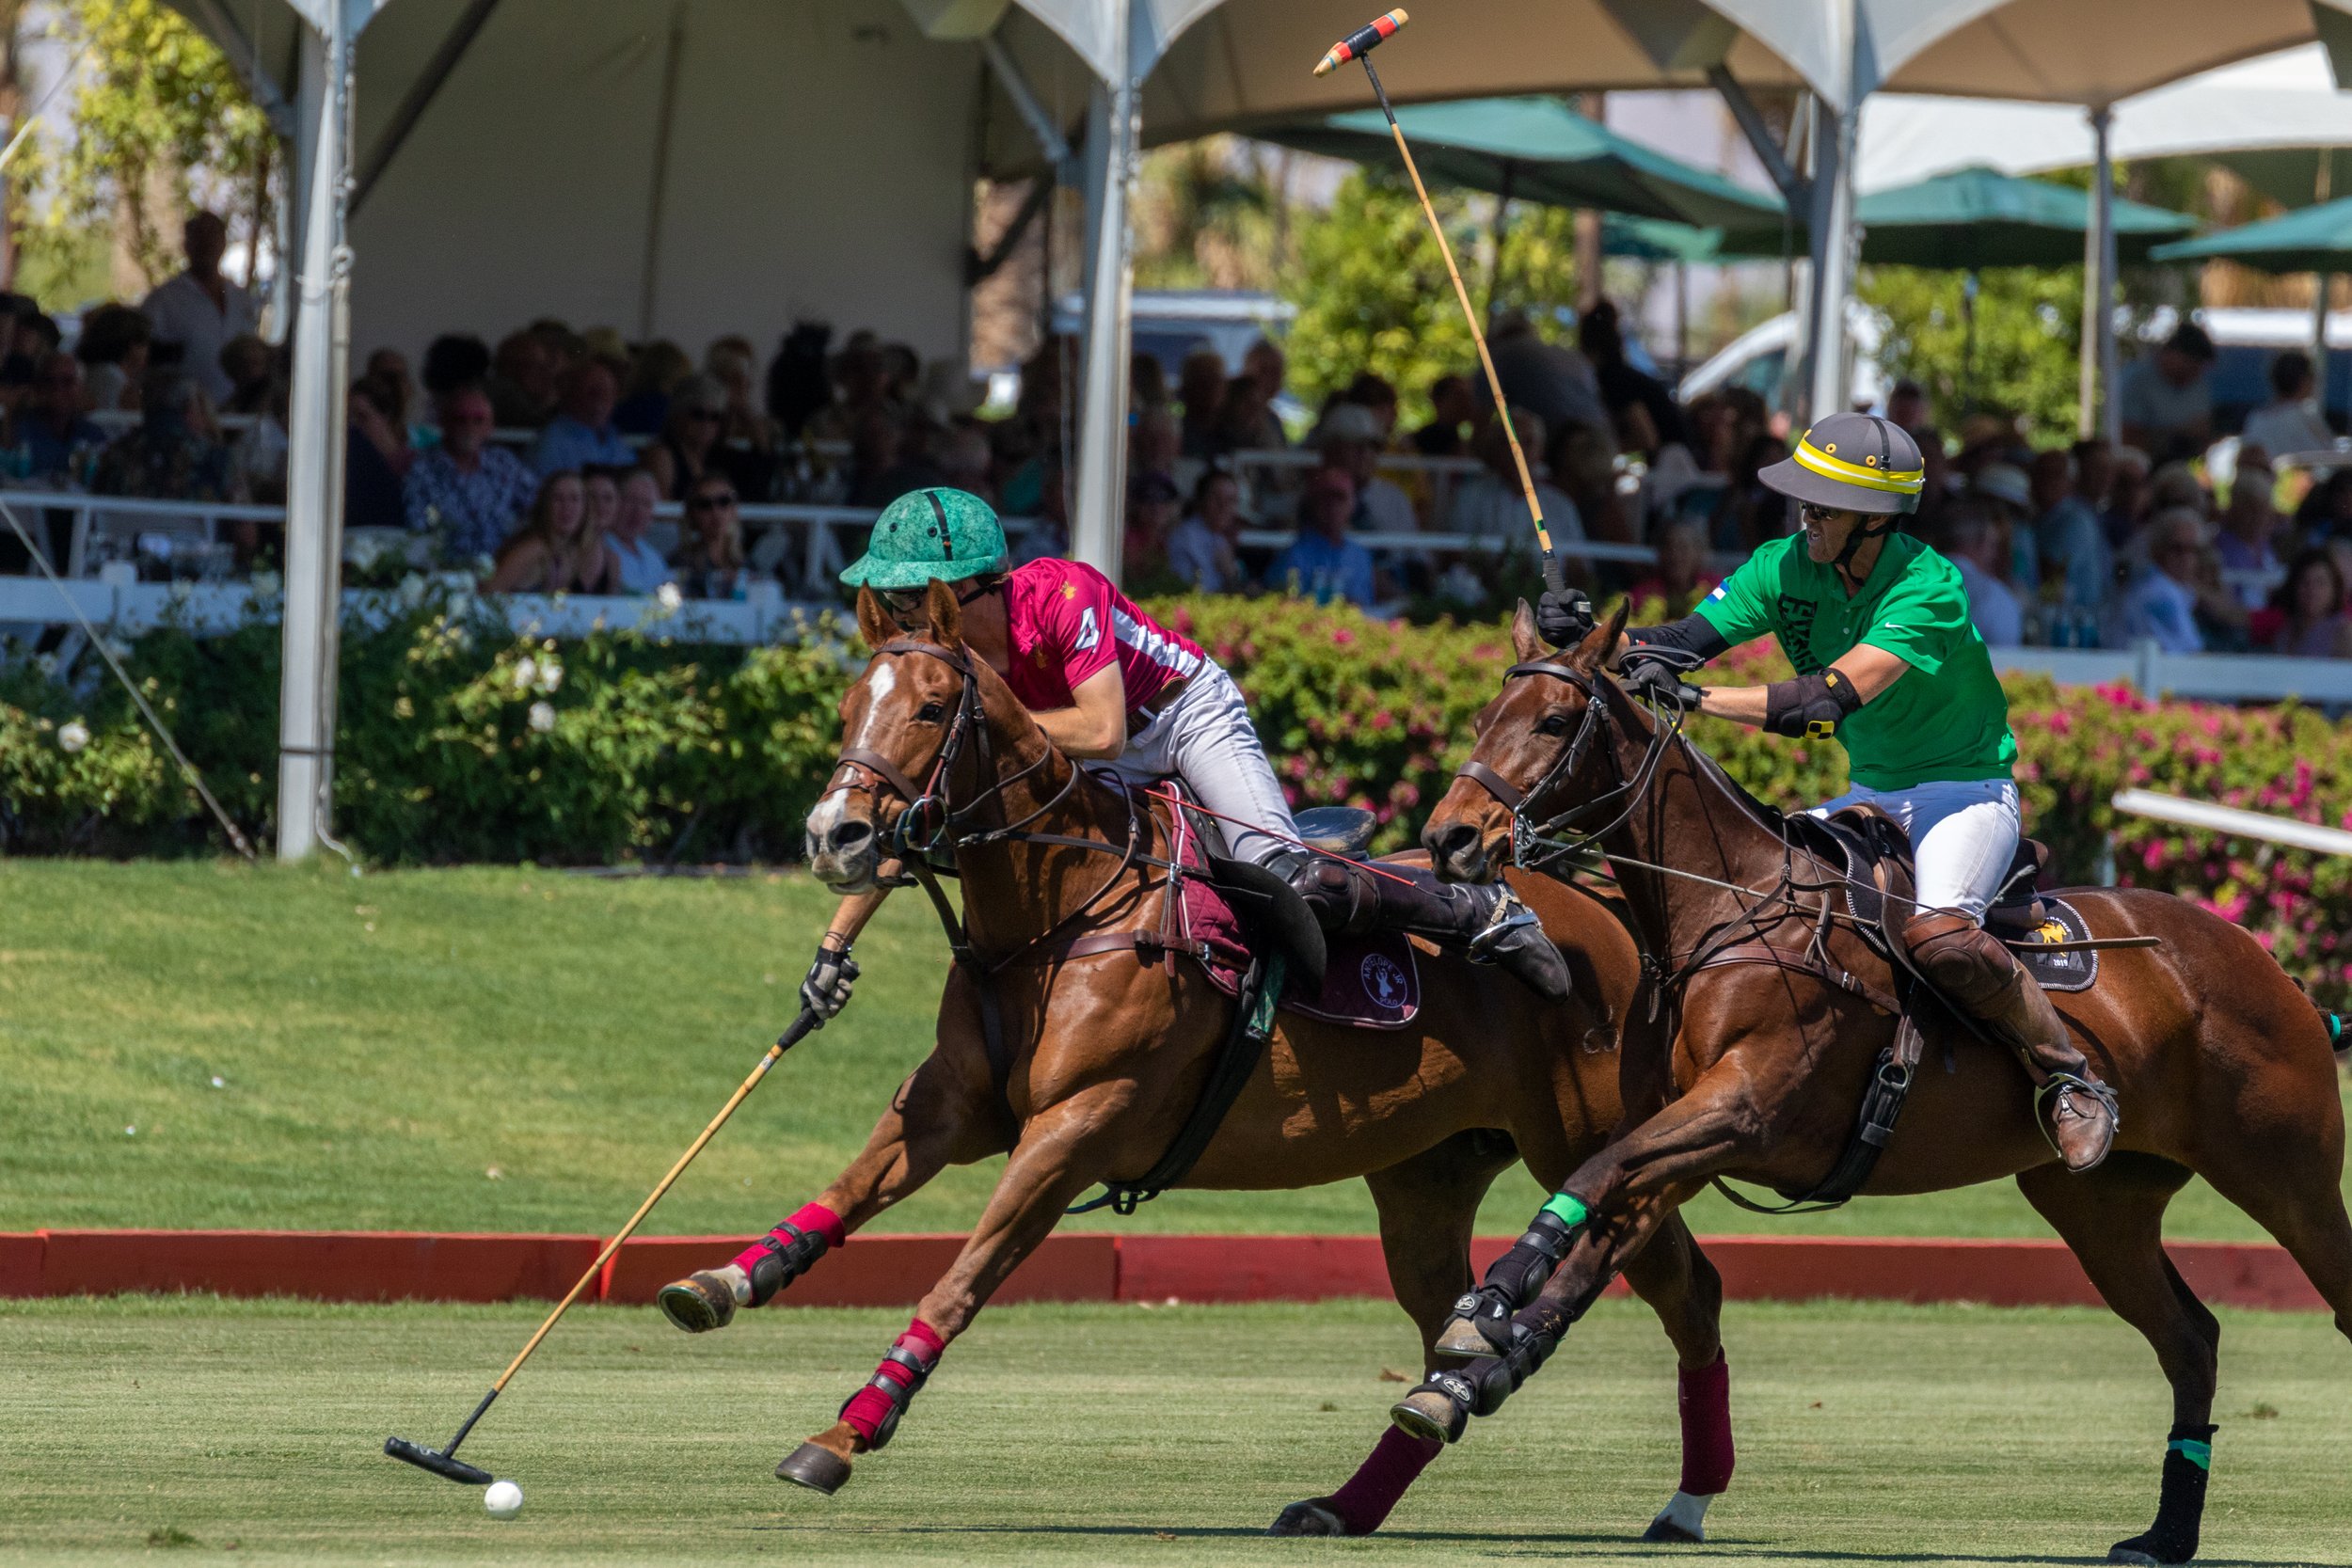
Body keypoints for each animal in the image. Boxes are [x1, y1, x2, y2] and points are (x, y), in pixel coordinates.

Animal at [663, 582, 1731, 1542]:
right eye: (851, 707)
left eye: (929, 707)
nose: (834, 836)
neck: (1058, 909)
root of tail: (1613, 910)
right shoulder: (948, 1104)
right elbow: (844, 1191)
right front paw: (721, 1281)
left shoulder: (1076, 1125)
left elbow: (957, 1280)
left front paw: (845, 1431)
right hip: (1425, 1180)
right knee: (1447, 1323)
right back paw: (1356, 1491)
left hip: (1592, 1145)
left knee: (1687, 1287)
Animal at [1402, 601, 2343, 1568]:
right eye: (1483, 718)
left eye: (1555, 722)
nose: (1450, 839)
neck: (1727, 909)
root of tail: (2271, 966)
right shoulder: (1686, 1137)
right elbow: (1603, 1232)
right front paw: (1477, 1370)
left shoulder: (1742, 1111)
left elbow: (1595, 1176)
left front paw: (1489, 1301)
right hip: (2099, 1205)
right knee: (2191, 1338)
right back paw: (2164, 1533)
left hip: (2288, 1176)